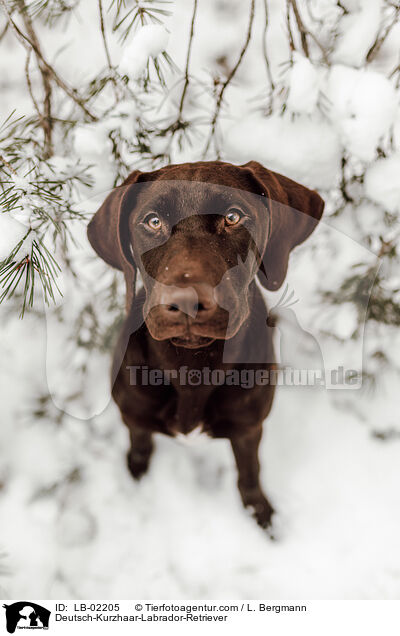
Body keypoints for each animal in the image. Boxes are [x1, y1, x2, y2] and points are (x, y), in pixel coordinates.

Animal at [88, 161, 324, 528]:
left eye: (233, 216)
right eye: (152, 221)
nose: (186, 302)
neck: (192, 366)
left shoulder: (248, 428)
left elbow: (249, 472)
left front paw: (259, 513)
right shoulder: (134, 415)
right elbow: (140, 445)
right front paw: (136, 473)